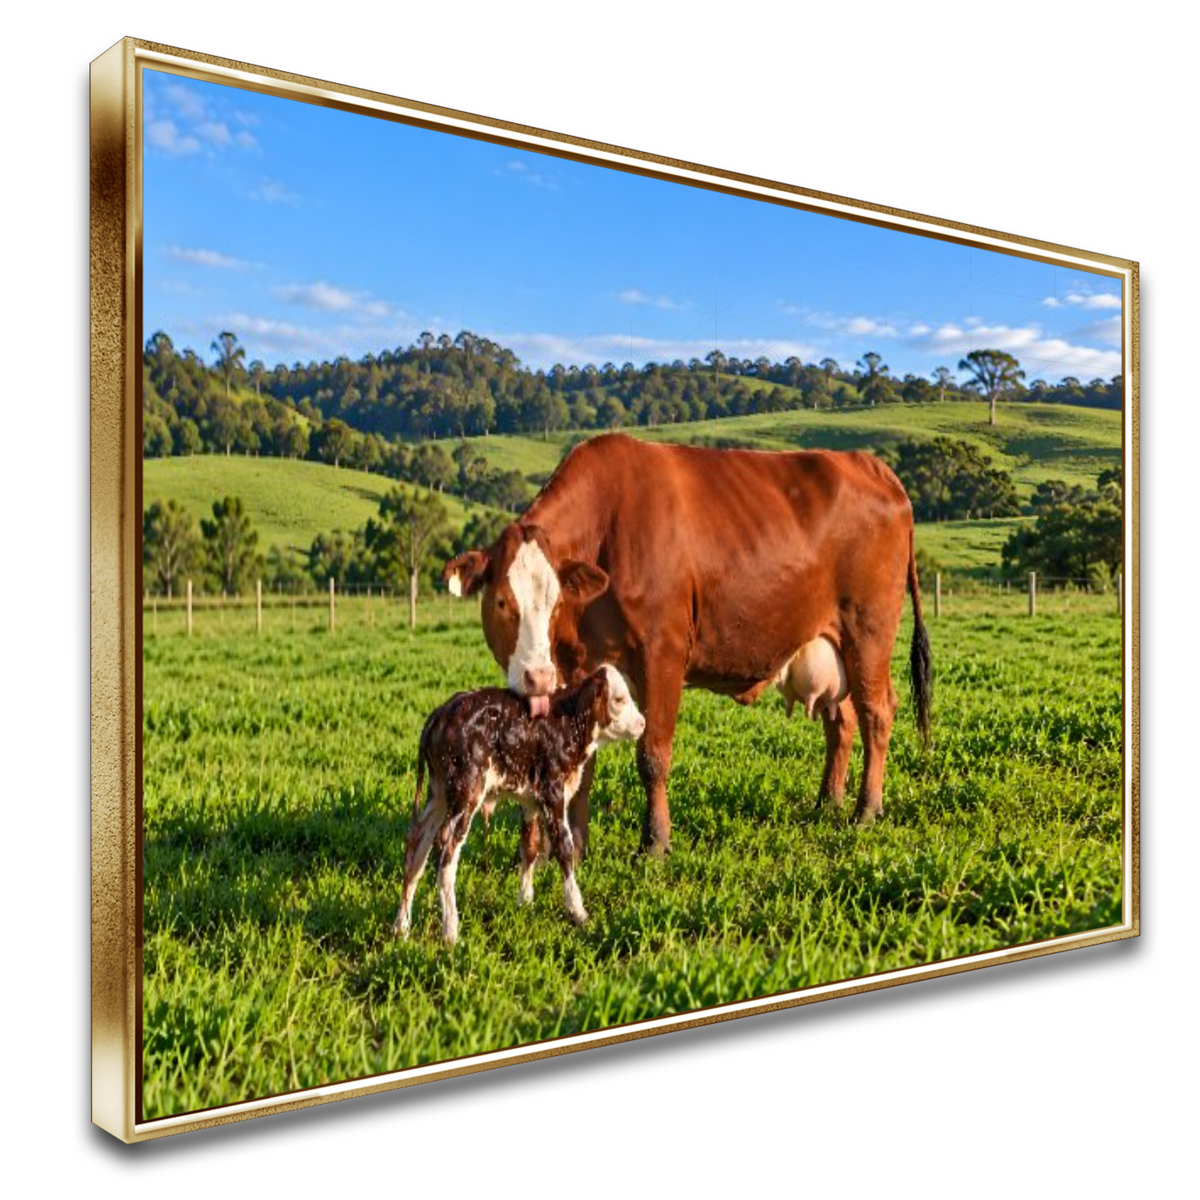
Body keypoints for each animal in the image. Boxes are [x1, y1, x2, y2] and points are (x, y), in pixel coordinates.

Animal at [393, 665, 645, 944]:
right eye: (619, 699)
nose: (642, 723)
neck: (566, 722)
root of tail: (443, 712)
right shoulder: (552, 792)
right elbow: (564, 847)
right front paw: (577, 911)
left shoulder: (530, 800)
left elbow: (530, 846)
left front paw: (525, 901)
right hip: (466, 791)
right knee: (446, 847)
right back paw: (450, 930)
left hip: (438, 793)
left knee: (416, 844)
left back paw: (401, 926)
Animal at [443, 433, 932, 855]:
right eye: (502, 601)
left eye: (556, 599)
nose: (537, 676)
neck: (606, 527)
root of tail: (871, 466)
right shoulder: (577, 668)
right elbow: (581, 763)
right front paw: (573, 847)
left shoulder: (662, 653)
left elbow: (653, 754)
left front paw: (655, 842)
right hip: (829, 646)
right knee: (842, 720)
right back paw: (827, 802)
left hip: (868, 633)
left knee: (876, 712)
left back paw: (866, 810)